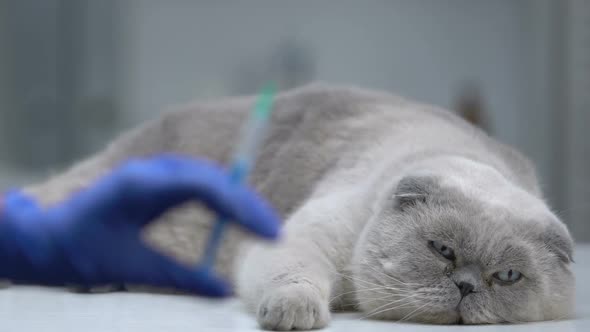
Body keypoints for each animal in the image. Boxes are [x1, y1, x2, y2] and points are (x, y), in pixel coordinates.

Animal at [25, 83, 576, 330]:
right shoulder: (304, 238)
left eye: (507, 277)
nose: (465, 286)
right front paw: (294, 314)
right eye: (442, 250)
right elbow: (295, 279)